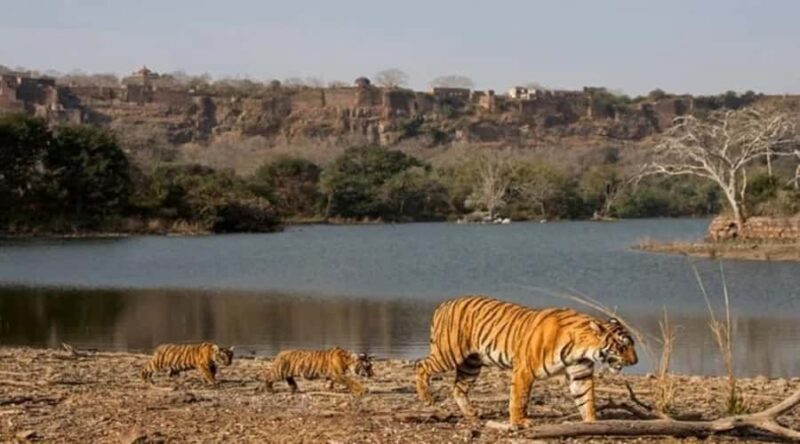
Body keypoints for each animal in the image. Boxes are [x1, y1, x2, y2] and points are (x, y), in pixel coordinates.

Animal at [415, 295, 638, 427]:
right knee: (420, 365)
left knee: (458, 388)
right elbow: (519, 398)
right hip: (449, 354)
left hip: (471, 364)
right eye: (622, 346)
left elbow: (586, 400)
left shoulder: (580, 375)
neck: (582, 350)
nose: (635, 361)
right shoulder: (524, 369)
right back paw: (427, 398)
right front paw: (520, 421)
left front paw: (592, 422)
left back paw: (471, 414)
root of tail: (444, 304)